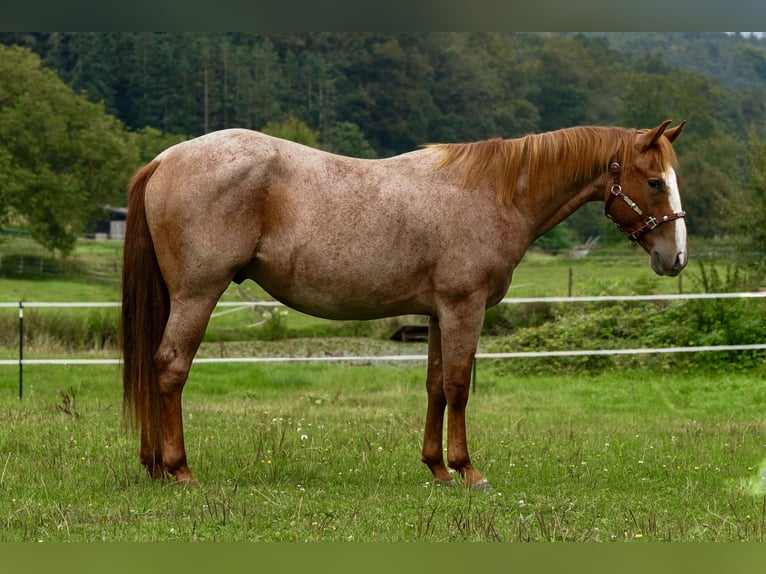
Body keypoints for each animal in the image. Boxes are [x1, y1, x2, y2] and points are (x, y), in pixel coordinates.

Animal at [121, 121, 688, 490]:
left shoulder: (438, 313)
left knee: (154, 368)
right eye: (654, 181)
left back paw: (154, 465)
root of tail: (165, 158)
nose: (676, 257)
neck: (492, 192)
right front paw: (467, 470)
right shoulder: (464, 307)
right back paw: (179, 469)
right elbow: (458, 387)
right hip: (198, 294)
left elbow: (435, 386)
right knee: (170, 368)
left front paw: (437, 468)